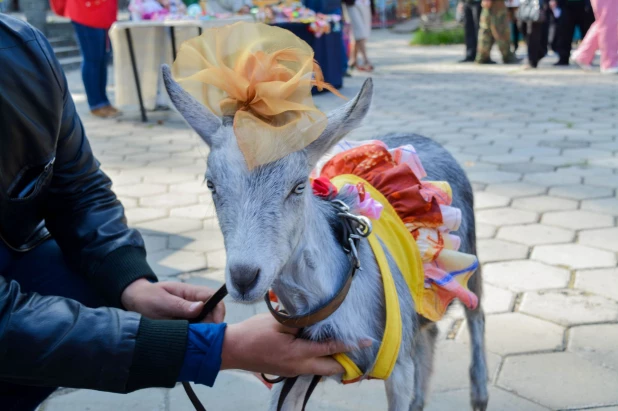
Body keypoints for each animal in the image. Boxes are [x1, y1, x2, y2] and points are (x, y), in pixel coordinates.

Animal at [162, 66, 486, 410]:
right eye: (211, 184)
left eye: (299, 186)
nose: (244, 277)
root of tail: (428, 141)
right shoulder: (293, 370)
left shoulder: (398, 367)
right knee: (430, 333)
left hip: (468, 254)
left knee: (476, 312)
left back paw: (479, 393)